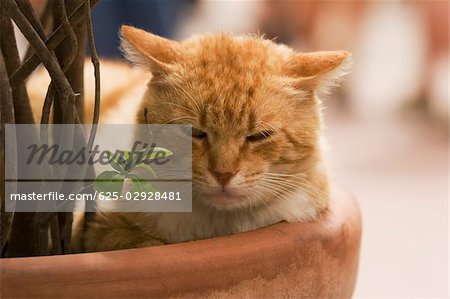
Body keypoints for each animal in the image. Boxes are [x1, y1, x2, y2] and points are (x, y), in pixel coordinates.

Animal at [29, 25, 352, 252]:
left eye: (259, 136)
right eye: (195, 132)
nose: (224, 174)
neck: (214, 228)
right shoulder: (95, 229)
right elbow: (141, 241)